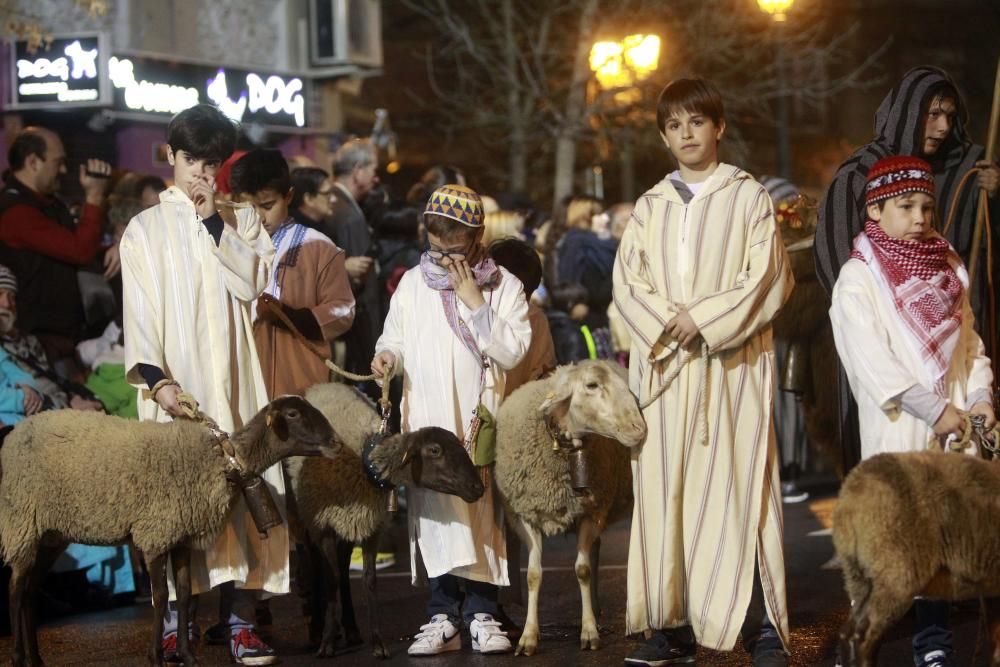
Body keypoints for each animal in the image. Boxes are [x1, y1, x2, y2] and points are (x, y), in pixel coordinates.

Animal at [0, 396, 338, 667]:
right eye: (293, 414)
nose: (335, 443)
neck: (221, 460)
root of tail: (15, 433)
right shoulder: (156, 534)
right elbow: (162, 596)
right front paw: (156, 657)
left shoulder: (181, 537)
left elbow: (186, 594)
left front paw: (187, 656)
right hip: (22, 522)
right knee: (15, 590)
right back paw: (17, 656)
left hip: (49, 535)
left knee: (30, 591)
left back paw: (35, 658)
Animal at [288, 384, 486, 660]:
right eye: (435, 450)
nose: (478, 487)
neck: (365, 464)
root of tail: (320, 386)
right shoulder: (324, 525)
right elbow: (331, 579)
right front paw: (326, 641)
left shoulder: (371, 526)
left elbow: (369, 580)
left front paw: (377, 642)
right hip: (305, 517)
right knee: (317, 565)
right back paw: (319, 629)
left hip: (350, 524)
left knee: (343, 568)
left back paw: (351, 630)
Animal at [494, 362, 648, 656]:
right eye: (591, 385)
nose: (639, 428)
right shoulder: (526, 516)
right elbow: (533, 575)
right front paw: (528, 636)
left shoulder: (590, 513)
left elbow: (582, 570)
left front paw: (588, 632)